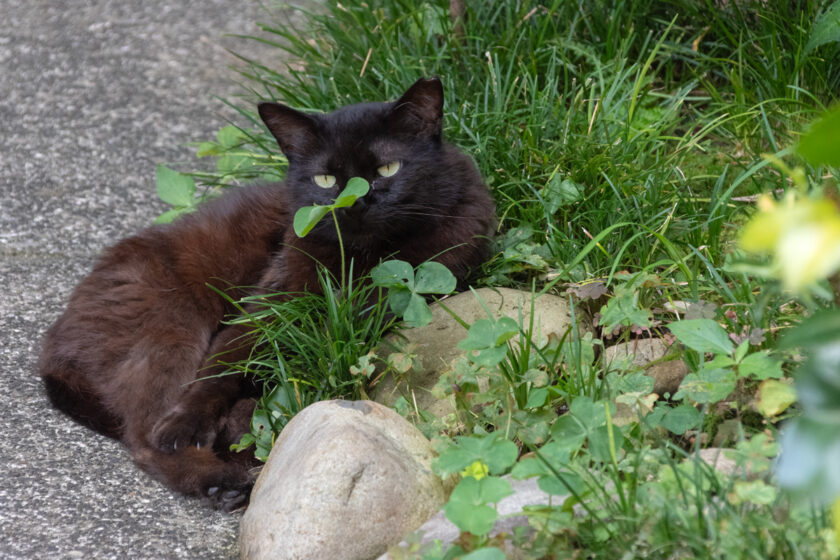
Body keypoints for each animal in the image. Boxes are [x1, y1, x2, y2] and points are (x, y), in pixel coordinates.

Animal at [39, 76, 496, 510]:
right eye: (326, 179)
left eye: (388, 168)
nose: (355, 203)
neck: (360, 260)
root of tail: (56, 340)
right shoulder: (267, 304)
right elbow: (221, 367)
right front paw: (189, 423)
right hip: (169, 325)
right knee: (145, 438)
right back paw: (219, 480)